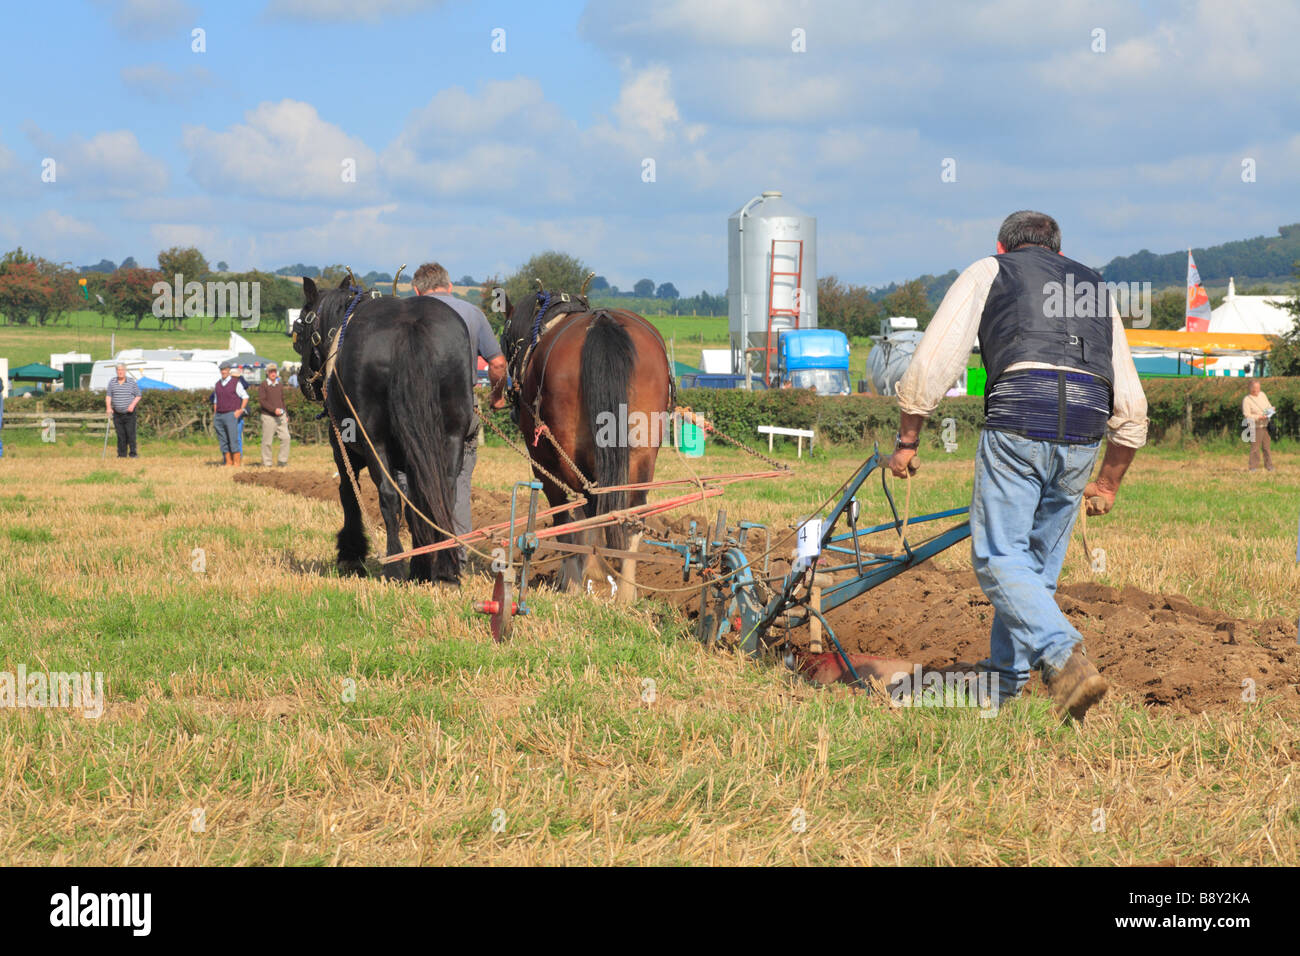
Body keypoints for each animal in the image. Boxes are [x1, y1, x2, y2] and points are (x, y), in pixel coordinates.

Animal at [295, 273, 478, 580]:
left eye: (299, 327)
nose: (302, 380)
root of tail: (410, 326)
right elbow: (416, 503)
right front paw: (421, 565)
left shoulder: (343, 446)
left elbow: (350, 493)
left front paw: (351, 554)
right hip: (451, 437)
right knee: (443, 492)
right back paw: (442, 569)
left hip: (374, 440)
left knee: (388, 497)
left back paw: (394, 564)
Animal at [501, 287, 676, 600]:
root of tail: (603, 322)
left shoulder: (544, 465)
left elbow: (566, 519)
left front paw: (571, 577)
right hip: (643, 453)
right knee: (631, 511)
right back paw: (625, 592)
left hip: (565, 453)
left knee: (585, 506)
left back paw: (586, 577)